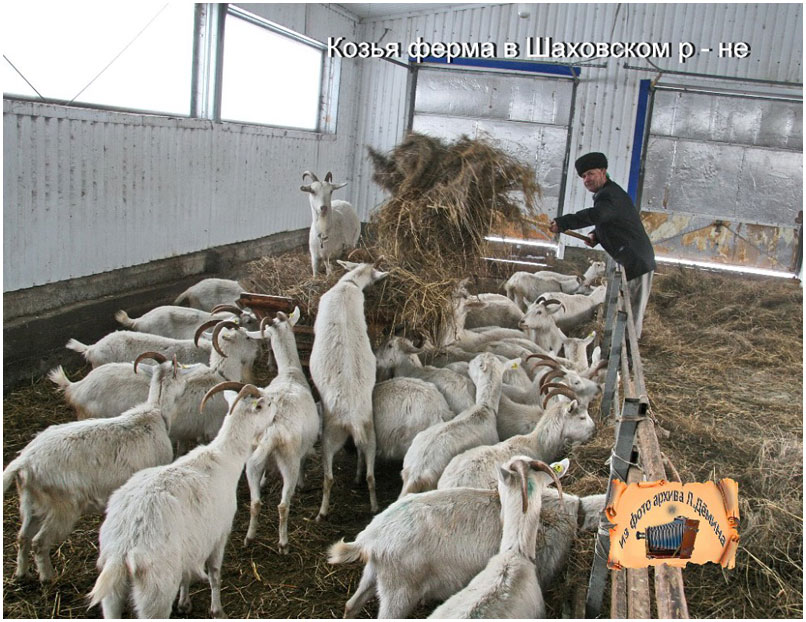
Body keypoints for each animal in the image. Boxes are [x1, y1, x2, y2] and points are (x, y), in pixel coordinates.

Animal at [3, 353, 177, 582]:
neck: (153, 413)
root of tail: (23, 462)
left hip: (30, 501)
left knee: (22, 537)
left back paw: (22, 573)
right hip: (61, 507)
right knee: (39, 542)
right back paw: (47, 577)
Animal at [88, 382, 277, 618]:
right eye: (266, 403)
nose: (277, 411)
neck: (223, 456)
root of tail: (123, 548)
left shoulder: (192, 544)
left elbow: (187, 574)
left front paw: (184, 602)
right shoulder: (219, 534)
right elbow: (215, 573)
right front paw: (217, 610)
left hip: (112, 593)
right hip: (156, 590)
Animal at [243, 309, 320, 553]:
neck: (290, 371)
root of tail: (272, 430)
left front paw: (265, 480)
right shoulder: (303, 448)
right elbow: (305, 463)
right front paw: (304, 484)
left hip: (251, 457)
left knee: (255, 502)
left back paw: (250, 537)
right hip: (288, 459)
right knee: (283, 505)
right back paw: (283, 543)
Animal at [310, 261, 387, 520]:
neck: (349, 284)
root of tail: (352, 420)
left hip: (330, 436)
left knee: (328, 479)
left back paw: (322, 512)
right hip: (370, 433)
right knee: (370, 474)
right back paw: (372, 504)